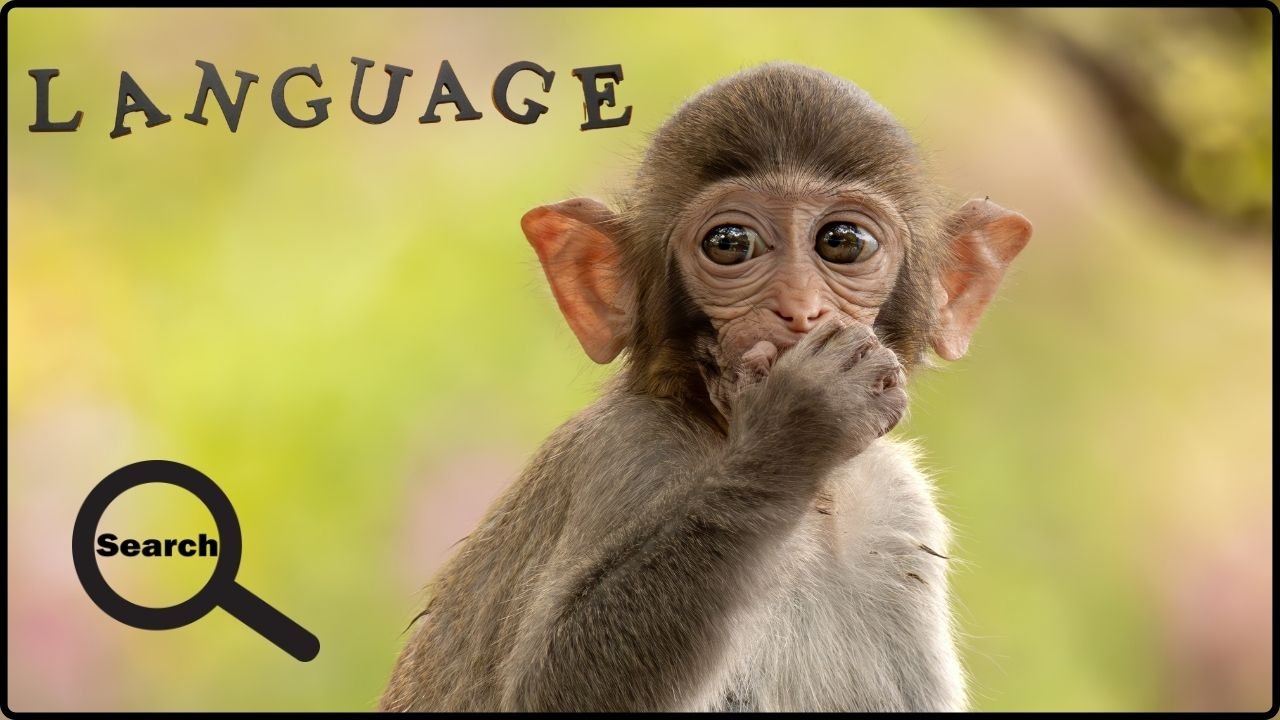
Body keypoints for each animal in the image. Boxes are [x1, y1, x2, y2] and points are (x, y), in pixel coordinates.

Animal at [380, 62, 1032, 712]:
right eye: (730, 243)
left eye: (843, 241)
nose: (800, 310)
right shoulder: (628, 451)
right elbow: (550, 688)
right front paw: (796, 428)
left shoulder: (898, 509)